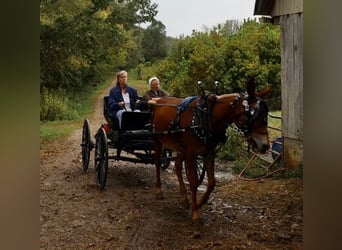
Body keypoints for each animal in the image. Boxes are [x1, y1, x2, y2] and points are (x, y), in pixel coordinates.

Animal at [151, 81, 272, 221]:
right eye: (253, 116)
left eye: (265, 115)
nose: (265, 145)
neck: (207, 116)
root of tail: (160, 100)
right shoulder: (191, 154)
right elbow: (193, 182)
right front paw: (195, 213)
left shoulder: (209, 153)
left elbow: (212, 182)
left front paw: (199, 203)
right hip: (158, 140)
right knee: (157, 162)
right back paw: (158, 190)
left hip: (181, 148)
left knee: (177, 167)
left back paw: (184, 198)